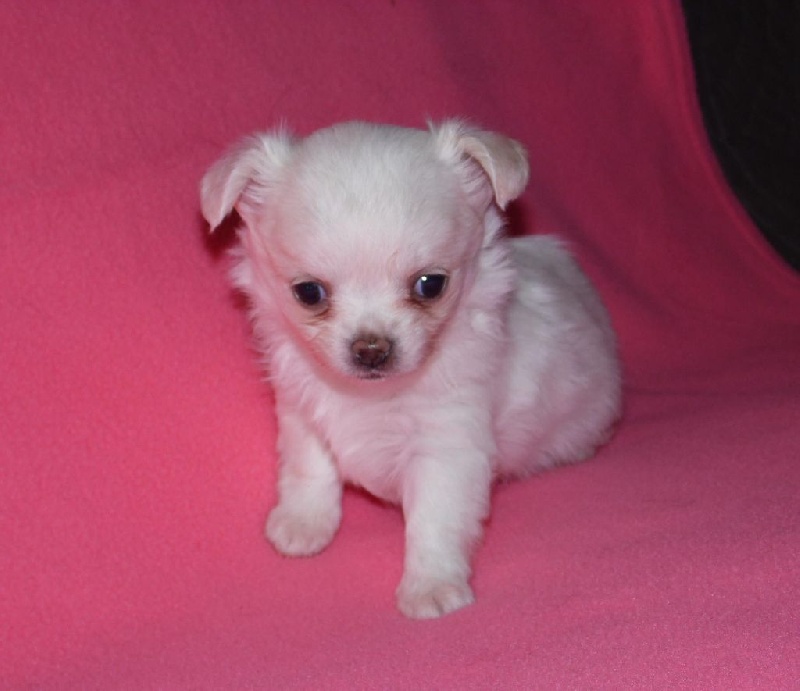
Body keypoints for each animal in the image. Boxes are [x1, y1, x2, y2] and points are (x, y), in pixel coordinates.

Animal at [200, 120, 621, 618]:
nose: (370, 349)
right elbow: (310, 468)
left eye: (430, 285)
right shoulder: (301, 412)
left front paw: (431, 586)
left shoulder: (447, 448)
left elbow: (434, 520)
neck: (370, 396)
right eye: (308, 293)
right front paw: (304, 523)